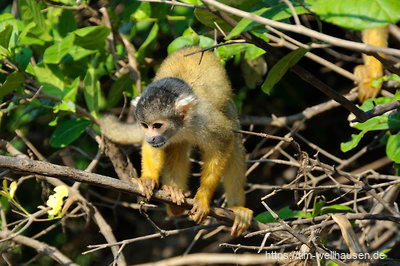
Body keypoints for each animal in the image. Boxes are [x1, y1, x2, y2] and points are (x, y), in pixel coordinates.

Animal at [99, 46, 253, 236]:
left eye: (157, 125)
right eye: (145, 125)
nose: (151, 136)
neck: (183, 124)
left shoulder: (207, 120)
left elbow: (224, 143)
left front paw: (203, 197)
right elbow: (154, 148)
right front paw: (148, 179)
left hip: (229, 107)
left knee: (235, 140)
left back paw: (237, 208)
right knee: (177, 146)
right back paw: (175, 196)